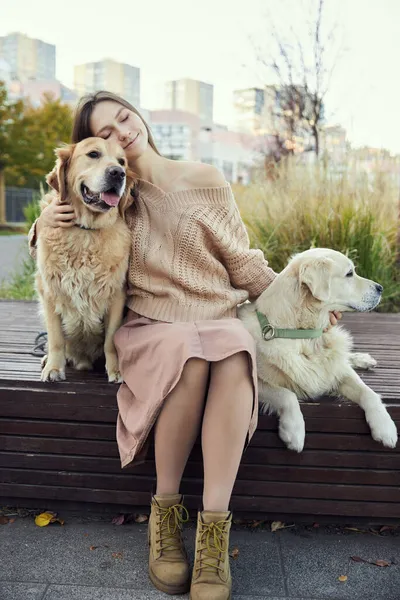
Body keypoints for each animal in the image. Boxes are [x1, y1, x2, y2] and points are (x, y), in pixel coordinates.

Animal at [35, 138, 134, 382]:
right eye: (93, 154)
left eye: (122, 162)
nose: (118, 173)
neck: (85, 231)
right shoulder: (49, 292)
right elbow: (56, 339)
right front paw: (53, 368)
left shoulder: (117, 294)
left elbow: (111, 341)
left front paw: (116, 370)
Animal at [239, 247, 398, 450]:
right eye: (349, 273)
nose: (381, 288)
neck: (305, 336)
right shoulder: (256, 381)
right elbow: (286, 394)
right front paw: (294, 430)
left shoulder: (338, 370)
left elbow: (368, 392)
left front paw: (385, 427)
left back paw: (364, 359)